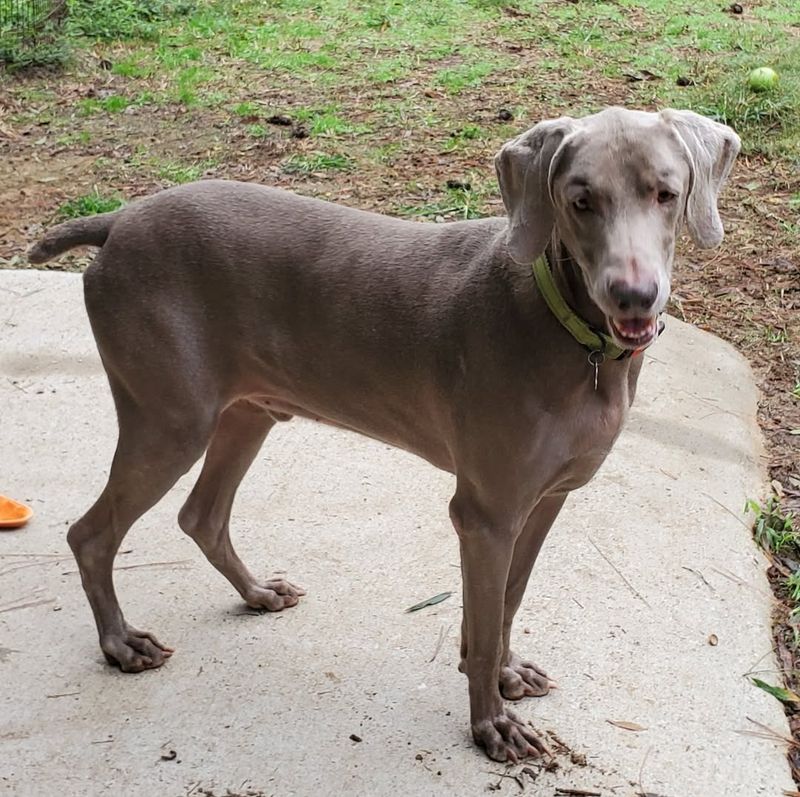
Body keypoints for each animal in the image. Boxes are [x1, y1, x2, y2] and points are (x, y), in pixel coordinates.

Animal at [31, 105, 736, 760]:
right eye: (579, 200)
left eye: (666, 193)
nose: (633, 296)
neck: (569, 333)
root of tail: (120, 219)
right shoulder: (485, 514)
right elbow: (485, 625)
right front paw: (492, 725)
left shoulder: (545, 501)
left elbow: (506, 604)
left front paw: (506, 675)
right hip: (171, 420)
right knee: (90, 533)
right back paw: (122, 644)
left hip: (248, 412)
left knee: (201, 516)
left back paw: (256, 593)